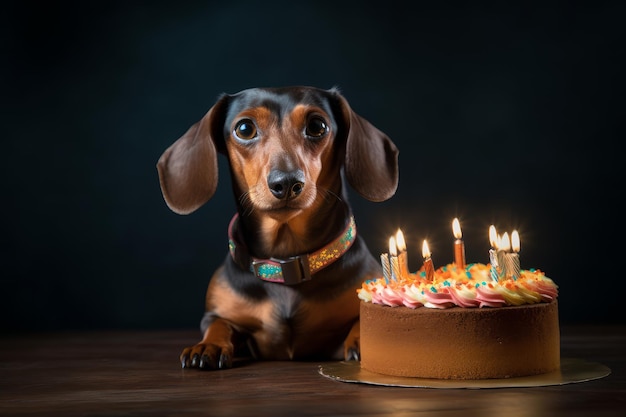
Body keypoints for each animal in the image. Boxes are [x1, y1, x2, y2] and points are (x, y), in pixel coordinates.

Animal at [158, 86, 398, 368]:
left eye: (317, 126)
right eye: (244, 129)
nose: (287, 183)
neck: (287, 261)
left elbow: (363, 318)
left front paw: (363, 340)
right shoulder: (216, 314)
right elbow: (219, 324)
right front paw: (209, 345)